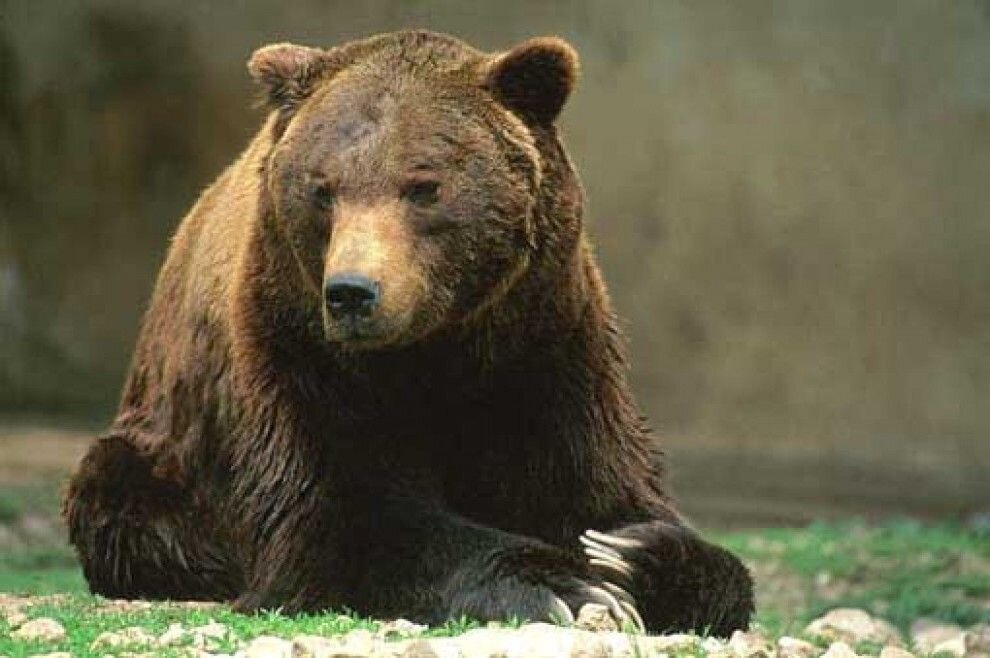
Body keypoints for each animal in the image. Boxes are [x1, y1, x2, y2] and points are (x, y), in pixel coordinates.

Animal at [63, 30, 754, 635]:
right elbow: (344, 516)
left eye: (423, 186)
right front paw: (564, 585)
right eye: (323, 189)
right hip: (162, 455)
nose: (352, 292)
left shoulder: (546, 353)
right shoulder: (295, 356)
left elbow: (608, 493)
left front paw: (630, 553)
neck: (434, 353)